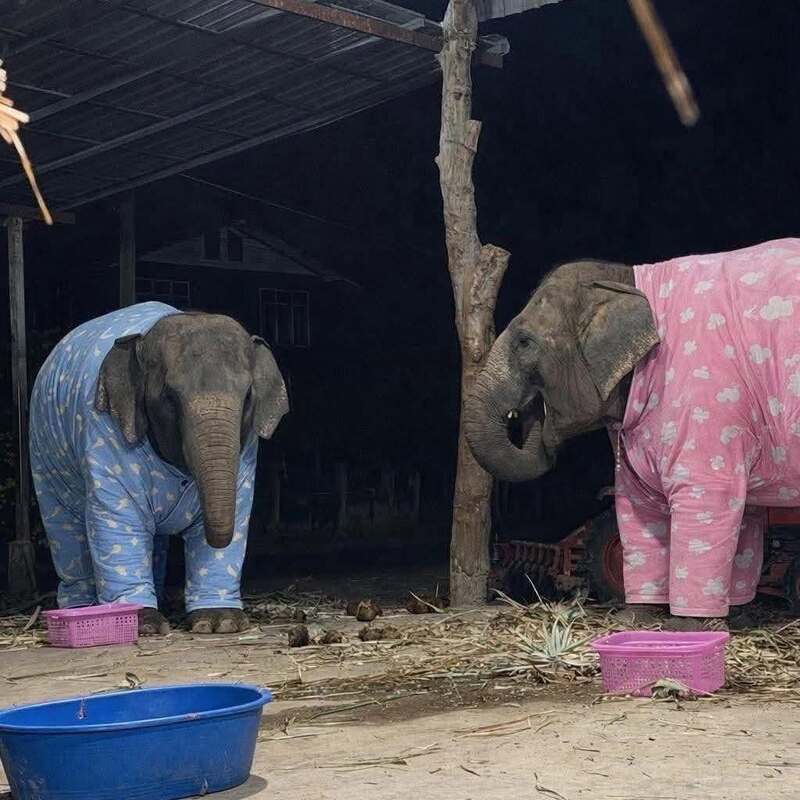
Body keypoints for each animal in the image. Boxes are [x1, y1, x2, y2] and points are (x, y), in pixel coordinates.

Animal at [29, 302, 289, 634]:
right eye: (169, 397)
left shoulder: (246, 452)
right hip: (44, 456)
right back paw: (82, 608)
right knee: (66, 529)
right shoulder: (106, 435)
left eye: (247, 397)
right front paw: (143, 623)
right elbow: (119, 518)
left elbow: (239, 512)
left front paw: (220, 621)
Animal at [465, 238, 800, 624]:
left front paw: (687, 625)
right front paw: (635, 618)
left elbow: (708, 495)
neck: (626, 279)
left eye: (524, 342)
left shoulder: (707, 399)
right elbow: (638, 500)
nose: (533, 413)